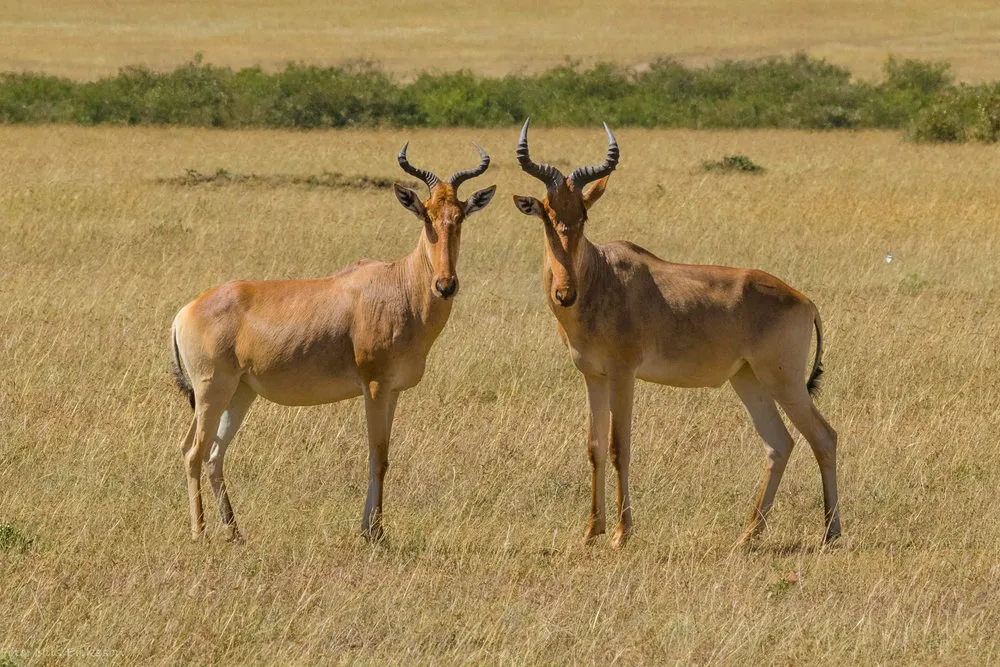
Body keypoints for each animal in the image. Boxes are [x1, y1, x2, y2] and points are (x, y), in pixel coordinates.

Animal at [173, 142, 500, 544]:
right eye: (427, 216)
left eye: (459, 216)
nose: (445, 285)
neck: (399, 283)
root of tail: (186, 311)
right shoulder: (373, 386)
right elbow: (378, 455)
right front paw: (375, 533)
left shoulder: (393, 390)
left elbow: (383, 456)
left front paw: (371, 528)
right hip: (211, 389)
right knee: (193, 451)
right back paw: (199, 533)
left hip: (240, 392)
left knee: (215, 454)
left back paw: (235, 532)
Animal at [512, 120, 840, 548]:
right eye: (547, 214)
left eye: (583, 215)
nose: (565, 294)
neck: (603, 275)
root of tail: (804, 300)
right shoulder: (593, 376)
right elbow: (595, 447)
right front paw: (590, 531)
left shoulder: (623, 374)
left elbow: (619, 447)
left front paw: (621, 534)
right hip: (748, 379)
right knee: (780, 444)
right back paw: (747, 535)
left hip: (783, 379)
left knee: (824, 437)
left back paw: (830, 533)